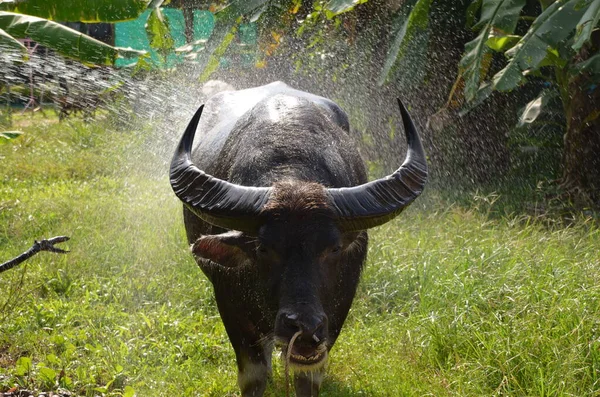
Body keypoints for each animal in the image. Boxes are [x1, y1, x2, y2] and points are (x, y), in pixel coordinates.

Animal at [171, 82, 428, 394]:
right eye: (263, 248)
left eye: (333, 249)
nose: (305, 327)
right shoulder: (228, 302)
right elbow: (253, 374)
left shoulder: (336, 312)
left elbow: (308, 377)